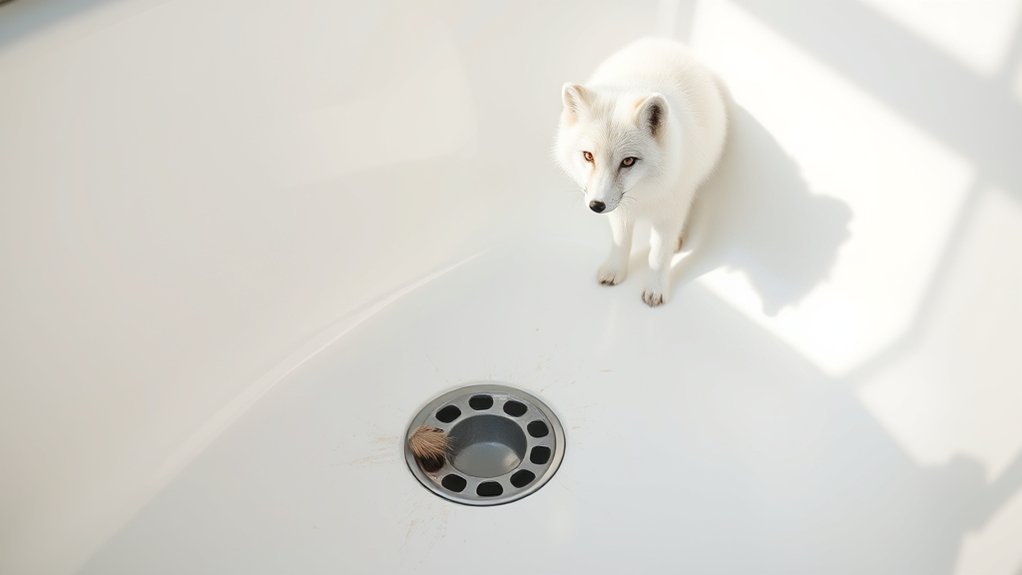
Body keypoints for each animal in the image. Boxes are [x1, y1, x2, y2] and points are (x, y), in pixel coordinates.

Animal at [555, 38, 728, 307]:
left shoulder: (669, 211)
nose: (596, 206)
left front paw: (655, 288)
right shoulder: (619, 210)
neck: (645, 193)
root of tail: (663, 42)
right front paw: (615, 270)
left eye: (628, 161)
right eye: (588, 156)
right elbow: (621, 242)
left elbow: (658, 256)